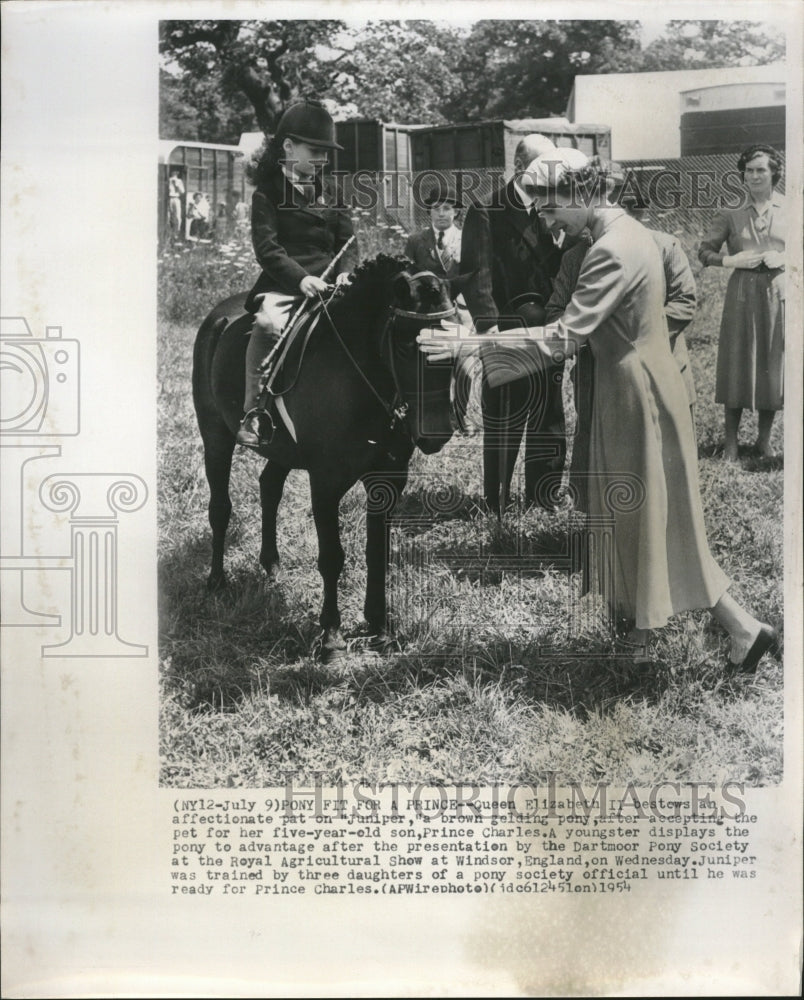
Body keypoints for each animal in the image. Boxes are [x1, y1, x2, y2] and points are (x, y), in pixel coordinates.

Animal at [190, 258, 458, 660]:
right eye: (404, 347)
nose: (436, 434)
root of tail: (219, 316)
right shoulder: (326, 482)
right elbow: (332, 556)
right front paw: (331, 636)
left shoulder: (388, 479)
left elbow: (376, 551)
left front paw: (379, 627)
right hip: (215, 437)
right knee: (220, 507)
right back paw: (217, 580)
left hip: (282, 450)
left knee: (269, 486)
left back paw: (272, 565)